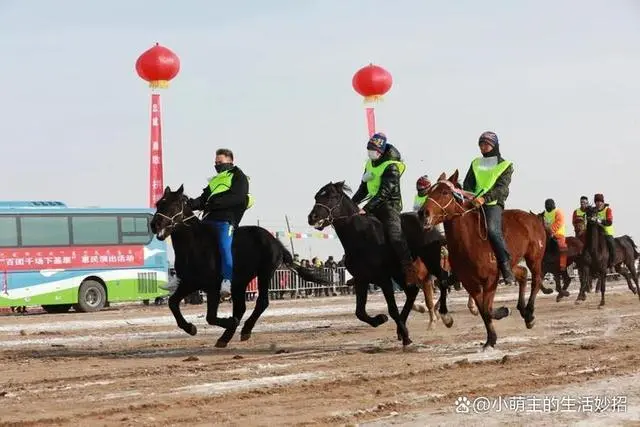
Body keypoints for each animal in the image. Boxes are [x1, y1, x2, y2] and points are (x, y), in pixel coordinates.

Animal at [150, 186, 330, 350]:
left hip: (264, 273)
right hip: (240, 282)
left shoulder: (212, 287)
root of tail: (274, 241)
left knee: (261, 302)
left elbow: (210, 317)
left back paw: (244, 330)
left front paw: (230, 322)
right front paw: (190, 328)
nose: (154, 224)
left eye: (174, 205)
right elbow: (173, 303)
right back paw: (225, 337)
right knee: (241, 308)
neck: (195, 245)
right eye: (159, 203)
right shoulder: (189, 283)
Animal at [308, 181, 450, 348]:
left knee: (442, 281)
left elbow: (392, 309)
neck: (360, 237)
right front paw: (380, 319)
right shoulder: (361, 279)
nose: (312, 217)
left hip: (429, 262)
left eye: (332, 196)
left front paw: (406, 337)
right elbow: (360, 312)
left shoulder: (383, 279)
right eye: (317, 197)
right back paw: (402, 328)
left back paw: (444, 317)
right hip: (401, 273)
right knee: (413, 292)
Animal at [420, 171, 544, 352]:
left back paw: (529, 314)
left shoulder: (491, 280)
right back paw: (523, 311)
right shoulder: (470, 283)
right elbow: (483, 310)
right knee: (522, 274)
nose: (423, 213)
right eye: (429, 191)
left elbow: (487, 309)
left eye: (444, 192)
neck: (470, 241)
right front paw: (490, 340)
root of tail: (533, 218)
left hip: (534, 258)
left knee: (536, 280)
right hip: (511, 265)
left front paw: (503, 312)